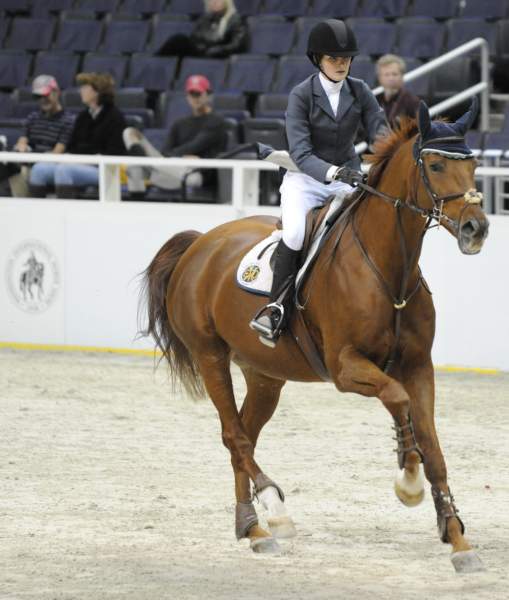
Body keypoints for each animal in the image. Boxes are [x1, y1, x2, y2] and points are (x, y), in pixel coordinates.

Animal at [142, 102, 488, 572]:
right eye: (435, 165)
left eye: (473, 165)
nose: (476, 228)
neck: (388, 268)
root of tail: (200, 244)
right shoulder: (346, 368)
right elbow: (397, 399)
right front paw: (408, 481)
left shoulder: (419, 366)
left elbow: (433, 449)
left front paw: (457, 539)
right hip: (209, 355)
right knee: (233, 435)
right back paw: (274, 511)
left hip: (265, 376)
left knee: (244, 435)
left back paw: (252, 529)